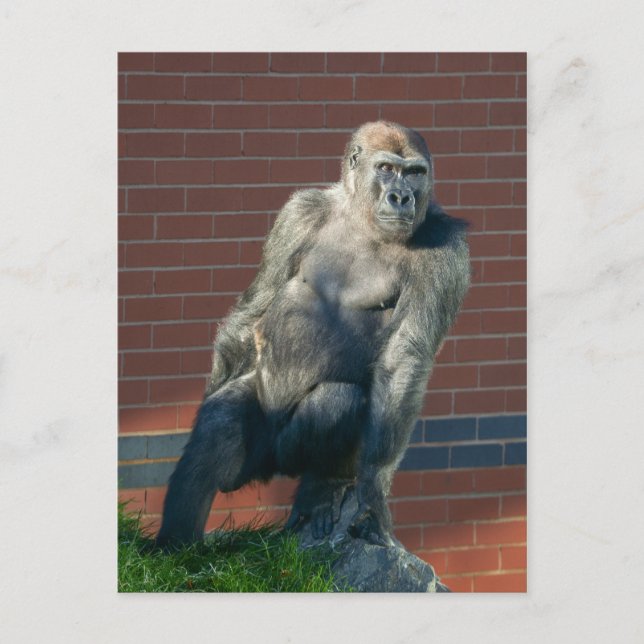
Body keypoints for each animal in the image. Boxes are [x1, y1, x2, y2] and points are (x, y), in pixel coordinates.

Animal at [156, 121, 470, 548]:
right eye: (387, 168)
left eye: (416, 173)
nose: (402, 197)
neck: (359, 218)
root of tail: (271, 471)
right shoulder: (298, 213)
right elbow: (256, 306)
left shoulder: (447, 252)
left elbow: (404, 358)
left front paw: (374, 486)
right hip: (259, 450)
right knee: (219, 426)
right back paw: (175, 549)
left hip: (291, 456)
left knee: (335, 402)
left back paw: (320, 487)